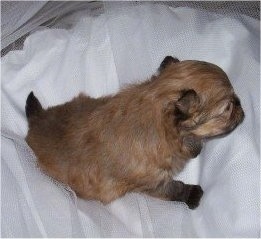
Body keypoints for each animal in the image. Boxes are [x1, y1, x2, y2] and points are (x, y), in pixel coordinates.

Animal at [24, 56, 244, 209]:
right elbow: (174, 188)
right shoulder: (154, 181)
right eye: (228, 108)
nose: (242, 107)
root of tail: (37, 119)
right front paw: (191, 194)